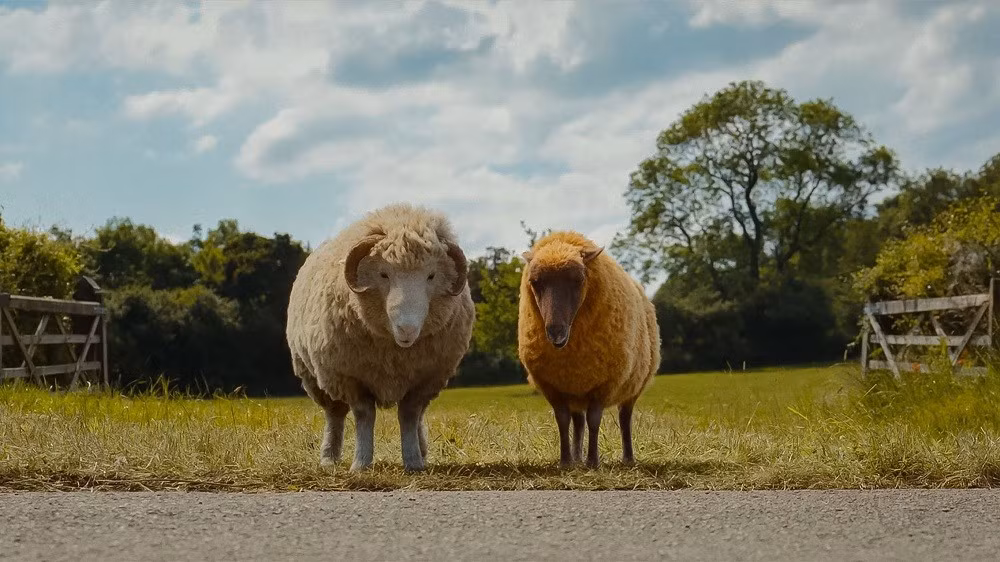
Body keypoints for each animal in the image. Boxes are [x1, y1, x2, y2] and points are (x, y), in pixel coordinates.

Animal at [285, 203, 475, 472]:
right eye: (384, 274)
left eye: (431, 276)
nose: (407, 329)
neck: (395, 352)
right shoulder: (351, 378)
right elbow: (365, 416)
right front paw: (361, 463)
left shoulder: (425, 380)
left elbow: (409, 415)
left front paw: (413, 461)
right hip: (316, 377)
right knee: (335, 414)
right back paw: (329, 457)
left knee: (418, 416)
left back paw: (422, 450)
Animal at [517, 230, 660, 468]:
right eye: (535, 282)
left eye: (578, 280)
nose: (555, 332)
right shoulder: (552, 386)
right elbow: (563, 421)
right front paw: (566, 461)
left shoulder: (604, 384)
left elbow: (594, 420)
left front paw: (593, 461)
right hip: (576, 390)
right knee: (577, 422)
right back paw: (576, 457)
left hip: (633, 386)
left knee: (624, 418)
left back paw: (628, 458)